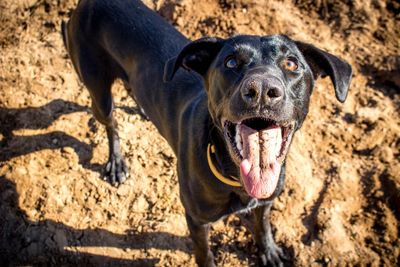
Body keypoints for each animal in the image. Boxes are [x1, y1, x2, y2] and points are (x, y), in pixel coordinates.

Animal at [61, 1, 352, 266]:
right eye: (231, 62)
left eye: (292, 64)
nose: (261, 89)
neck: (236, 177)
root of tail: (87, 3)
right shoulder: (197, 221)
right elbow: (205, 254)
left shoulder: (265, 202)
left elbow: (264, 226)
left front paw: (269, 252)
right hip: (98, 90)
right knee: (110, 123)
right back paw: (117, 162)